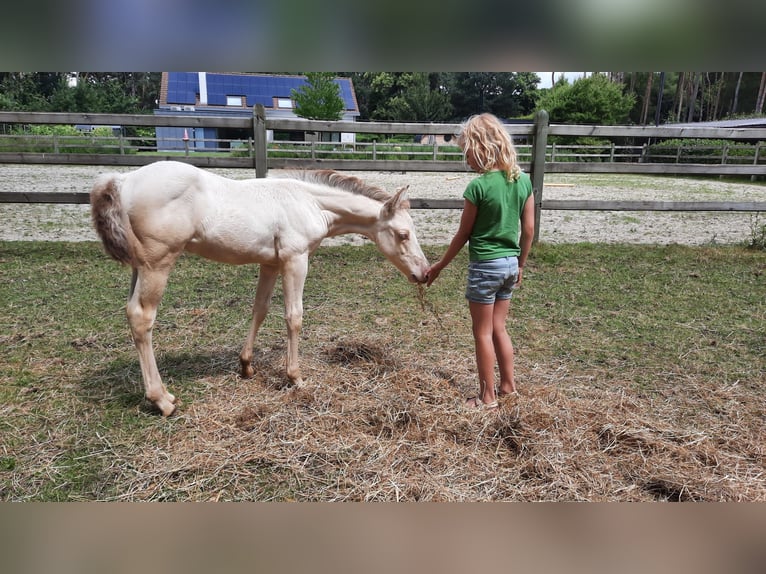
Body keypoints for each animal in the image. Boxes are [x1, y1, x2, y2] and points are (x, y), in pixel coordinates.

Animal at [90, 160, 432, 416]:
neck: (310, 202)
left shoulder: (270, 263)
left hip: (140, 266)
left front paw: (246, 366)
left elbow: (260, 309)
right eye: (403, 234)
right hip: (158, 263)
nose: (424, 273)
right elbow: (294, 316)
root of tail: (122, 179)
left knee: (131, 312)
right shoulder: (296, 259)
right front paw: (295, 377)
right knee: (142, 317)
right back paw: (162, 400)